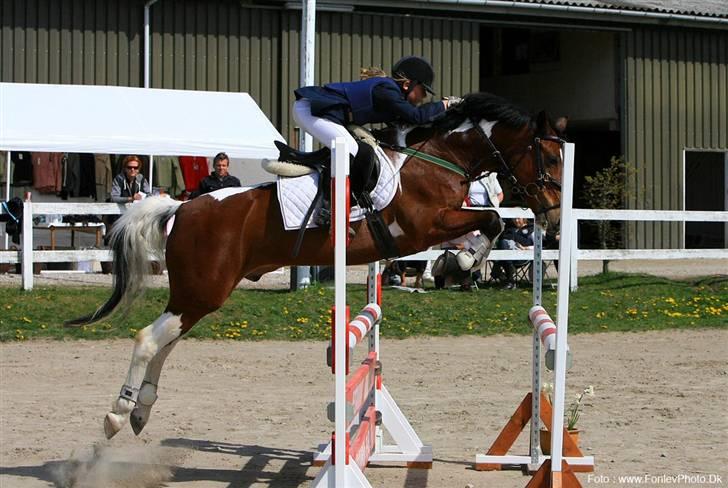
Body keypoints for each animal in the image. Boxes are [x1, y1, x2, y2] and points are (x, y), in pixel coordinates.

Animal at [68, 92, 566, 439]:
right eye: (549, 157)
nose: (556, 217)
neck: (440, 158)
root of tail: (182, 208)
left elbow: (490, 221)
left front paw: (463, 260)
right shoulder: (424, 226)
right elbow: (492, 217)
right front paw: (463, 260)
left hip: (197, 294)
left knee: (166, 340)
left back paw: (142, 410)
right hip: (202, 291)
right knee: (148, 339)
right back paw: (118, 414)